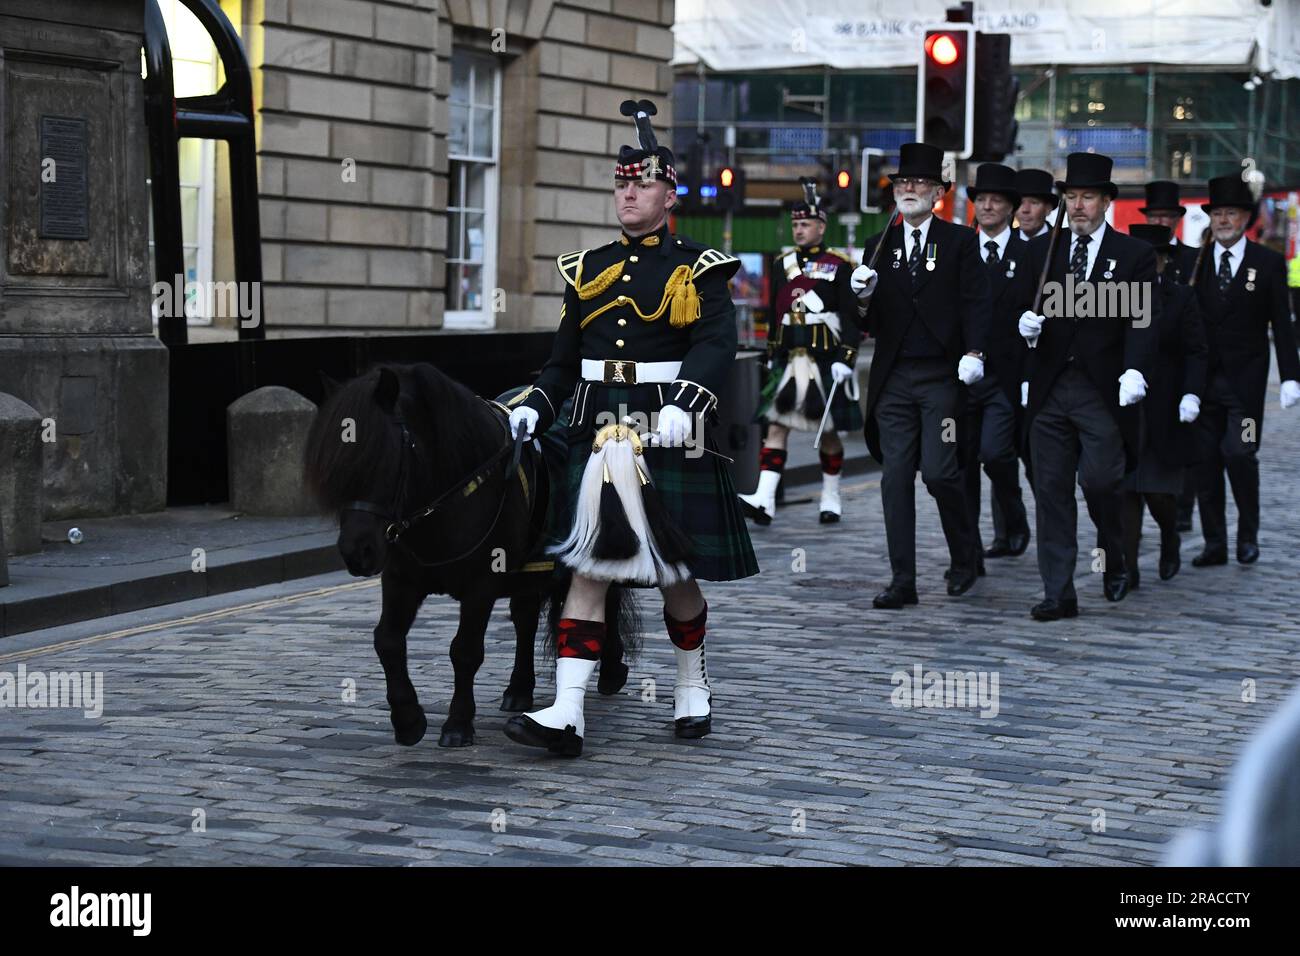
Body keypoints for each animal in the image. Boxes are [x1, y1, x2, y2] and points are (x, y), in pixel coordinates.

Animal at [300, 364, 634, 749]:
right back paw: (519, 688)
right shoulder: (401, 578)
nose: (356, 552)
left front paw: (458, 723)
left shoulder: (481, 584)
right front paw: (408, 719)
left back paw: (610, 668)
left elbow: (465, 650)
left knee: (607, 596)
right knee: (525, 618)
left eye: (383, 456)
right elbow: (387, 640)